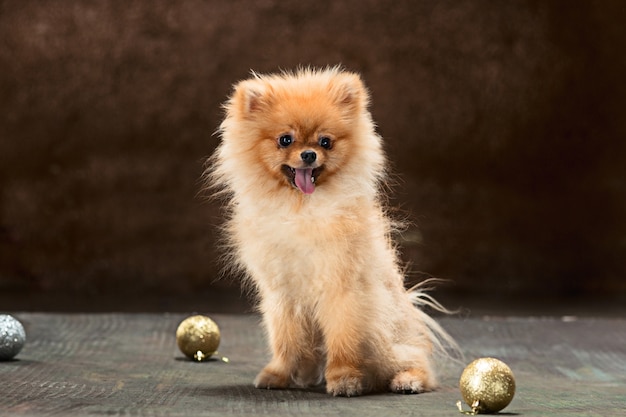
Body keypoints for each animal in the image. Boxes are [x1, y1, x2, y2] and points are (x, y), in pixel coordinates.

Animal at [207, 66, 456, 394]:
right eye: (285, 140)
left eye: (325, 142)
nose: (309, 154)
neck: (301, 208)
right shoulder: (282, 294)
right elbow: (285, 340)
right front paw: (279, 374)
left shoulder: (342, 288)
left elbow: (343, 338)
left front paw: (344, 378)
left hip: (386, 334)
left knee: (413, 359)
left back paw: (408, 379)